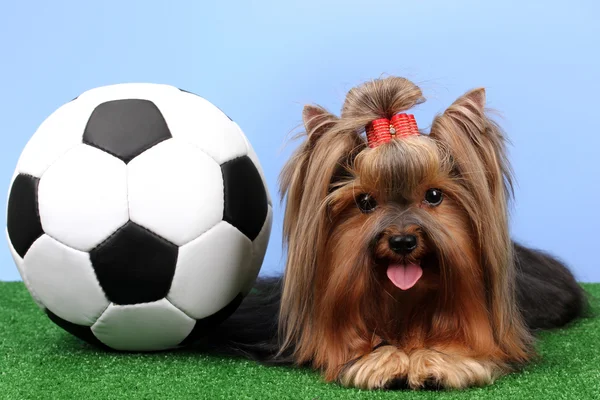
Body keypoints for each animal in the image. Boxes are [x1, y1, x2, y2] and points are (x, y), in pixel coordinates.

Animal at [204, 76, 588, 390]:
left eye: (433, 195)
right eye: (365, 202)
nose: (403, 241)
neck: (406, 305)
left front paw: (440, 361)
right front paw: (382, 361)